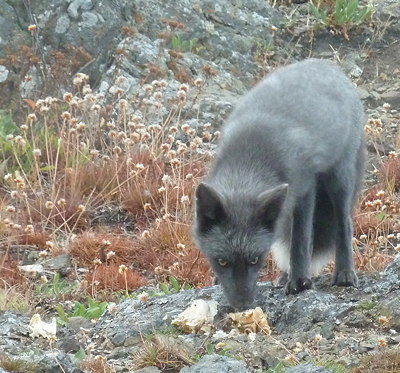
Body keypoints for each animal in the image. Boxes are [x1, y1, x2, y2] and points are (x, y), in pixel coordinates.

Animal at [194, 58, 366, 308]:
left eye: (255, 259)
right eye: (221, 261)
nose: (243, 305)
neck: (250, 158)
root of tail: (327, 65)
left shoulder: (305, 188)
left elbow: (301, 240)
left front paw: (300, 281)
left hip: (339, 180)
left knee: (343, 224)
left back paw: (344, 273)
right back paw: (285, 275)